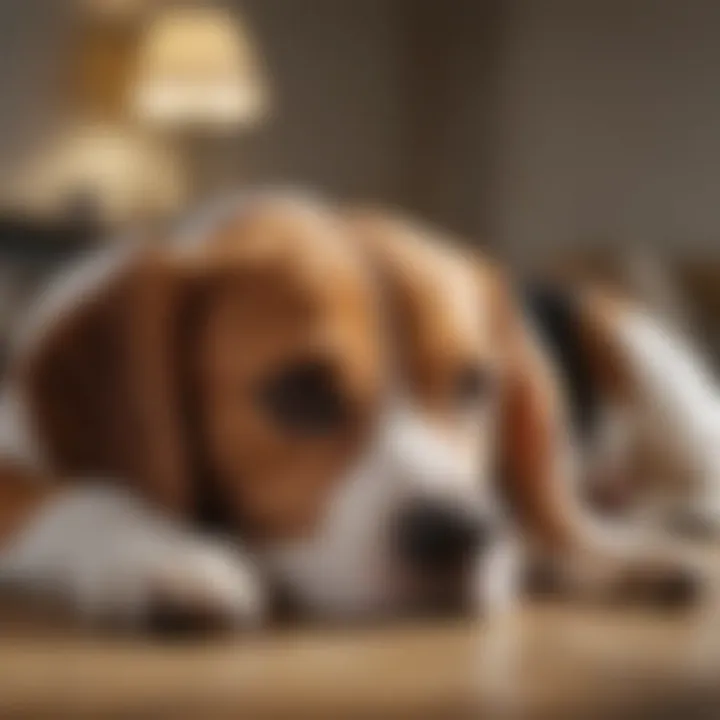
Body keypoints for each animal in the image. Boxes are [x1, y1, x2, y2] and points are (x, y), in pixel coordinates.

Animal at [0, 193, 708, 632]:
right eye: (299, 390)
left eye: (475, 383)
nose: (460, 532)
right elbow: (79, 495)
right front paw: (161, 553)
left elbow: (557, 521)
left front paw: (612, 552)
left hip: (645, 353)